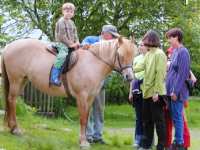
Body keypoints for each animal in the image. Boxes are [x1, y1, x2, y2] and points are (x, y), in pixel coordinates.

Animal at [1, 36, 136, 148]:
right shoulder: (82, 96)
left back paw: (12, 128)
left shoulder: (90, 97)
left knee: (12, 100)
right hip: (16, 80)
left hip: (23, 80)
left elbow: (87, 118)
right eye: (120, 55)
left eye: (133, 55)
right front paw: (83, 142)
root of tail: (9, 47)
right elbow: (82, 119)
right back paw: (15, 129)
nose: (129, 77)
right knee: (11, 100)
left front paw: (84, 140)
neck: (93, 63)